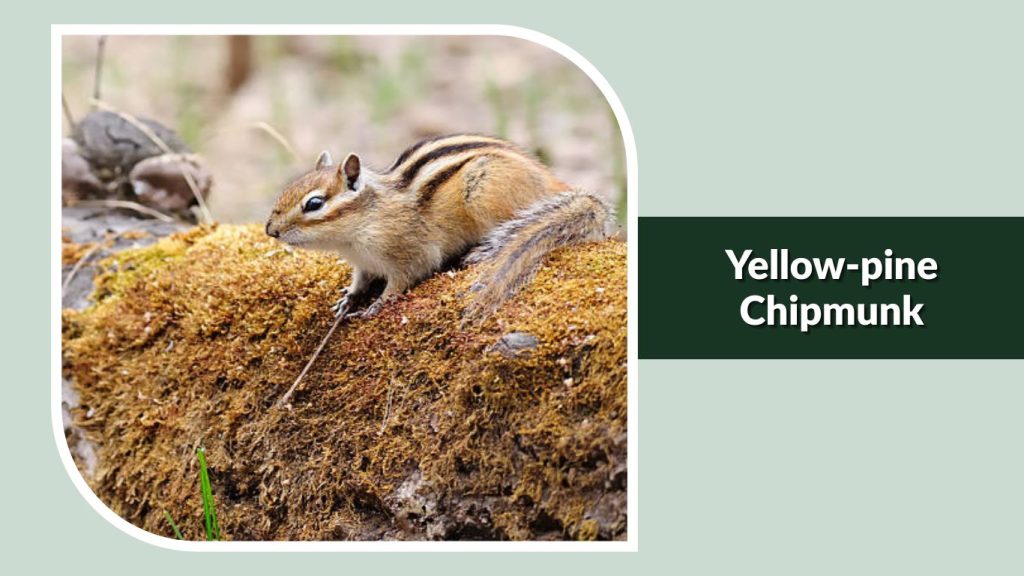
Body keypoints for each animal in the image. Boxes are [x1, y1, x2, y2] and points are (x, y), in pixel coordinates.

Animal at [265, 134, 613, 321]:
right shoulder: (363, 264)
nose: (270, 230)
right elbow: (360, 281)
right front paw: (349, 298)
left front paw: (377, 304)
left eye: (314, 204)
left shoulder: (409, 252)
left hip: (485, 191)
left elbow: (402, 280)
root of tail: (551, 183)